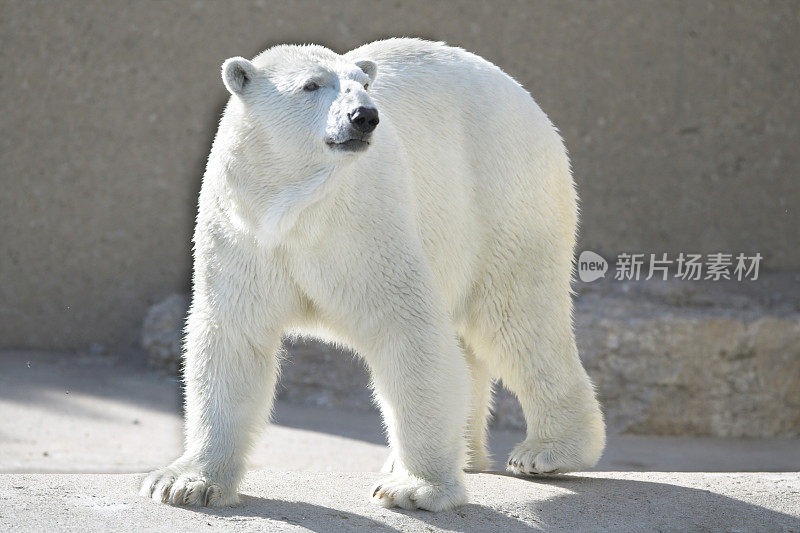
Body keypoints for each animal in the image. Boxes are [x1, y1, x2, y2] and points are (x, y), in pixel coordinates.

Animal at [141, 37, 604, 512]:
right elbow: (232, 337)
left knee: (516, 318)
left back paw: (547, 451)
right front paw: (184, 482)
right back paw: (465, 455)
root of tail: (521, 95)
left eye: (363, 84)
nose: (364, 116)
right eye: (311, 85)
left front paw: (415, 488)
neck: (295, 204)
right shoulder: (242, 233)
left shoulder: (365, 225)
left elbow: (408, 327)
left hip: (502, 193)